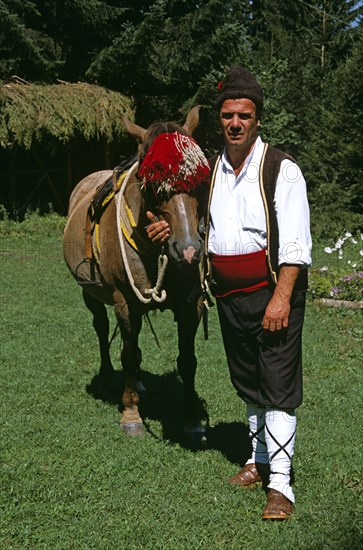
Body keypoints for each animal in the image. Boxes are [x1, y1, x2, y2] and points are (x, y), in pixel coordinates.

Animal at [63, 106, 210, 440]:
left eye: (200, 181)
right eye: (150, 183)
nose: (189, 250)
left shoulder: (190, 305)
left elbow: (188, 360)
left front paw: (191, 418)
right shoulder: (124, 300)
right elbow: (128, 355)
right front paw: (131, 414)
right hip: (90, 292)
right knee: (101, 328)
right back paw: (108, 377)